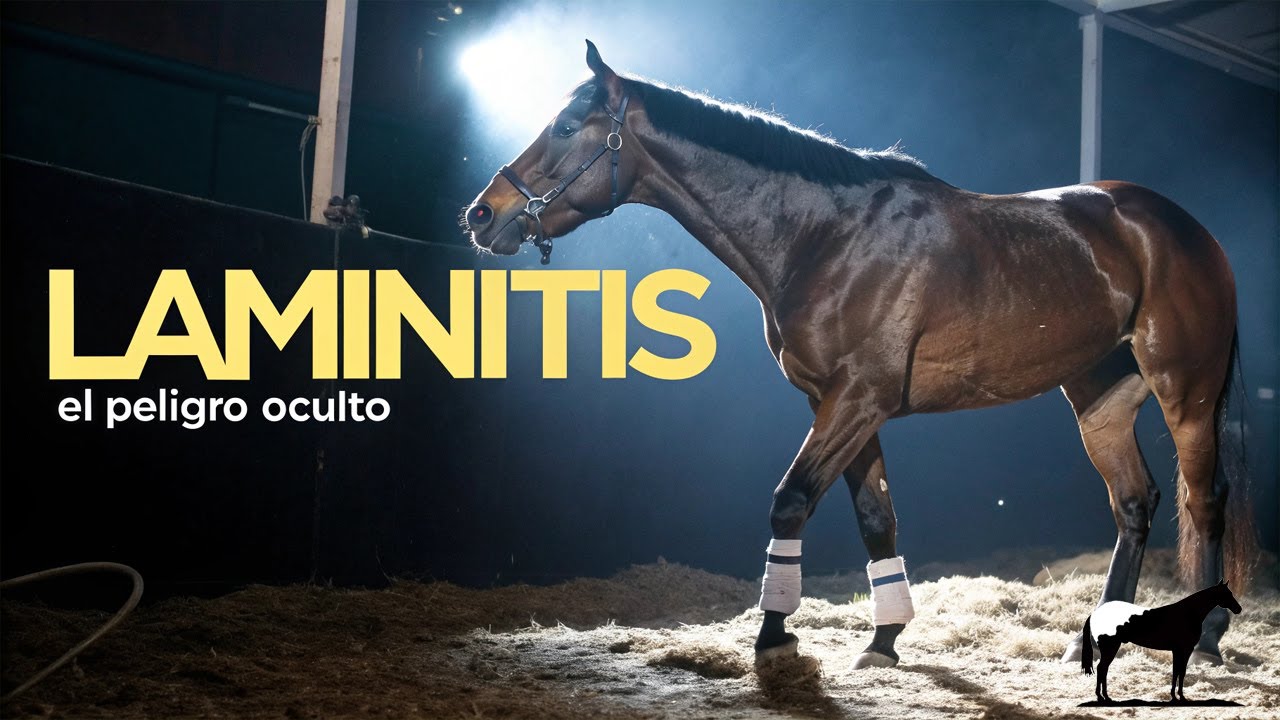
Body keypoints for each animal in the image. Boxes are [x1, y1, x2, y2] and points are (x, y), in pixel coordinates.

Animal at [461, 40, 1256, 670]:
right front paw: (883, 641)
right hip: (1097, 398)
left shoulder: (856, 399)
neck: (826, 236)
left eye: (567, 126)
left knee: (1203, 497)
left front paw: (774, 637)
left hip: (1187, 389)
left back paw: (1210, 636)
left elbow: (790, 503)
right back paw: (1088, 641)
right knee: (1134, 502)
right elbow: (877, 519)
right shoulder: (843, 406)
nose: (482, 214)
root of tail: (1187, 229)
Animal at [1081, 580, 1242, 702]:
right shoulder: (1184, 649)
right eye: (1227, 594)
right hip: (1111, 647)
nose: (1238, 609)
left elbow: (1177, 671)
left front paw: (1175, 696)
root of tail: (1095, 614)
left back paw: (1104, 696)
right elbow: (1180, 671)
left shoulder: (1178, 650)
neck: (1188, 614)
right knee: (1102, 668)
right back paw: (1103, 697)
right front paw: (1180, 697)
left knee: (1103, 669)